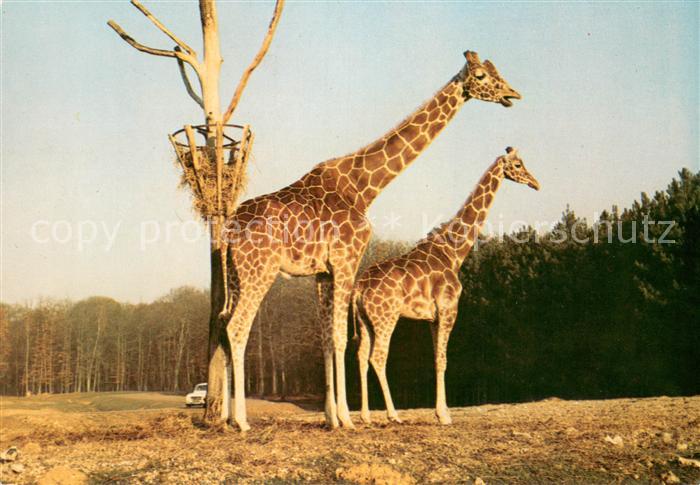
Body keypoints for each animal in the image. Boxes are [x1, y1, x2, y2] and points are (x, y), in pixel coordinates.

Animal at [354, 147, 540, 425]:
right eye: (518, 165)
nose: (536, 183)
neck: (454, 251)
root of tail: (359, 288)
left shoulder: (433, 317)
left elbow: (436, 359)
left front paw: (442, 411)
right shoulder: (449, 309)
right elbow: (443, 361)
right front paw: (443, 415)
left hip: (365, 320)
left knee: (361, 357)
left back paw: (365, 415)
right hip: (386, 317)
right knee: (377, 357)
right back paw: (393, 414)